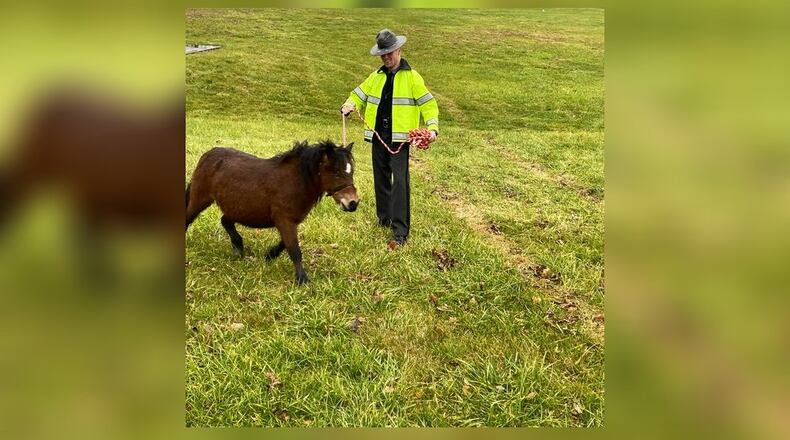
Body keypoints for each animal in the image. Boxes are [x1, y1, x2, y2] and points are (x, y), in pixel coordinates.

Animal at [185, 140, 359, 284]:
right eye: (336, 172)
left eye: (351, 172)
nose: (353, 203)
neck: (295, 181)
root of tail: (208, 154)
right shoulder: (284, 220)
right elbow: (294, 249)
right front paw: (302, 279)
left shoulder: (290, 221)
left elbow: (285, 244)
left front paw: (269, 256)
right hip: (200, 199)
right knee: (188, 218)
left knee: (225, 221)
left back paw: (238, 247)